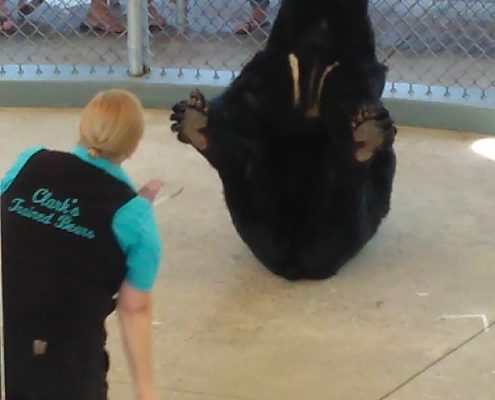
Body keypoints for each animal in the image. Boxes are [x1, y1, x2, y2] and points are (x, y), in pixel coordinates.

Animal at [172, 0, 398, 282]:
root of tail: (295, 262)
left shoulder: (353, 67)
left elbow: (357, 97)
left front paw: (366, 122)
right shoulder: (272, 64)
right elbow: (241, 100)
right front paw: (194, 112)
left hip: (352, 222)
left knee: (365, 176)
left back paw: (366, 139)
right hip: (258, 206)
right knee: (241, 160)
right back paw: (196, 124)